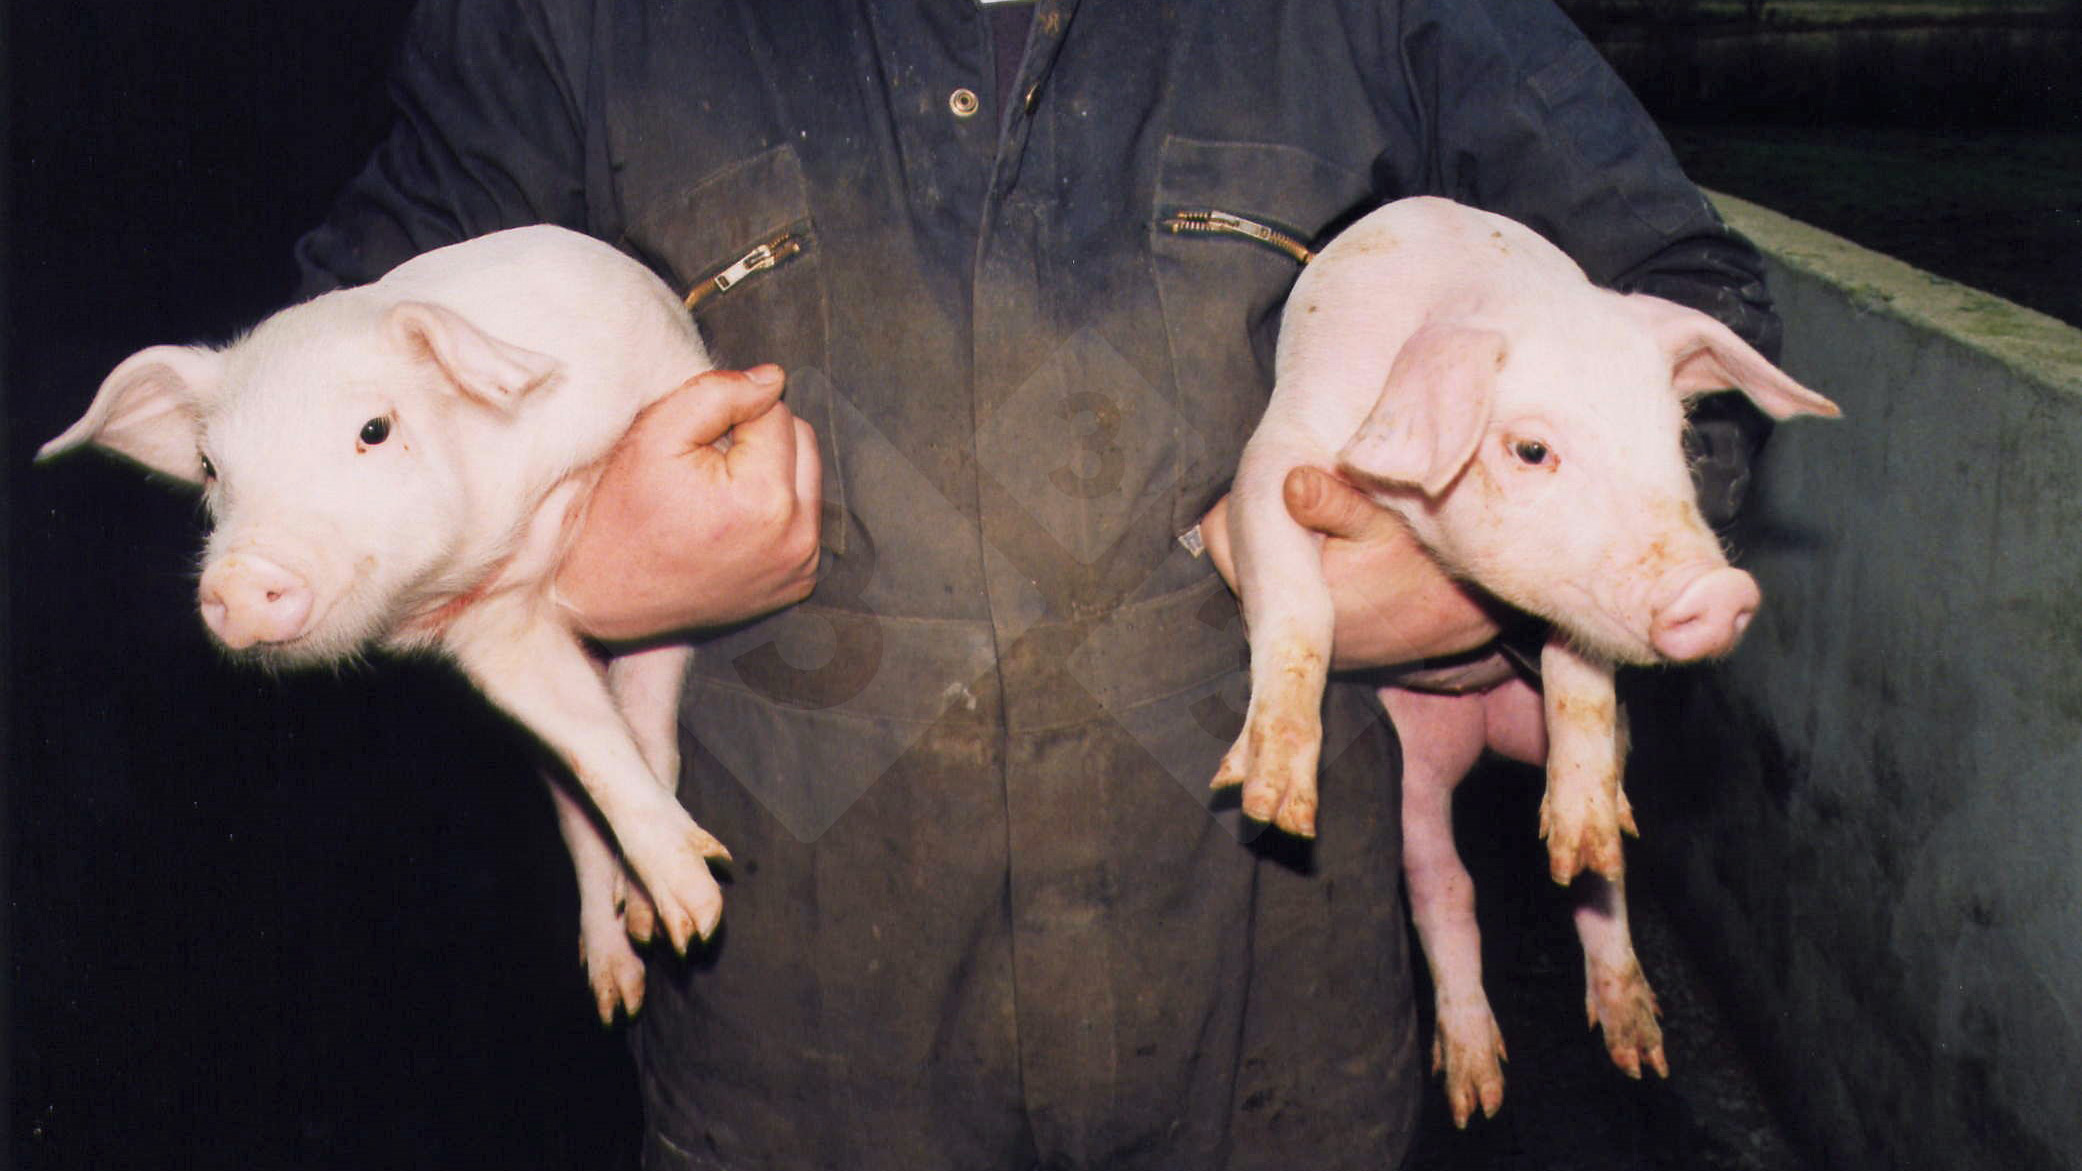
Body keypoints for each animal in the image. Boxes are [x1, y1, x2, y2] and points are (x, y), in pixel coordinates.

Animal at [39, 225, 737, 1024]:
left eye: (374, 429)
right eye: (211, 466)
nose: (239, 576)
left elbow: (644, 720)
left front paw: (692, 918)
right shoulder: (491, 627)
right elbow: (593, 743)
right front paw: (687, 915)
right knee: (571, 814)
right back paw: (614, 994)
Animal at [1212, 196, 1839, 1121]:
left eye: (1679, 436)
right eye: (1531, 450)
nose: (1723, 591)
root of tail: (1483, 736)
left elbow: (1578, 666)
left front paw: (1583, 820)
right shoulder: (1274, 463)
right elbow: (1299, 601)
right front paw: (1268, 803)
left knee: (1597, 879)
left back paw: (1626, 1002)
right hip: (1418, 769)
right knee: (1443, 882)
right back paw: (1476, 1092)